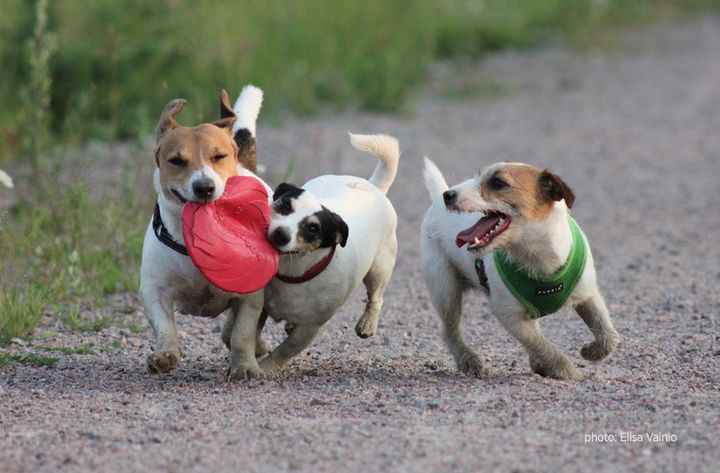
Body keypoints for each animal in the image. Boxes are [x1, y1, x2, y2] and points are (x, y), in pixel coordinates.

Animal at [225, 132, 400, 372]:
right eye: (285, 204)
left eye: (313, 228)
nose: (280, 234)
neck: (293, 273)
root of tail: (373, 185)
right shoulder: (259, 305)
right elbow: (242, 330)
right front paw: (257, 348)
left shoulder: (311, 326)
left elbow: (287, 349)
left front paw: (268, 368)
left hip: (379, 268)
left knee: (376, 296)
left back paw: (367, 323)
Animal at [422, 159, 620, 380]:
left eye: (498, 182)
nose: (448, 195)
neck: (537, 257)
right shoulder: (510, 316)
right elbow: (541, 345)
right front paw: (566, 371)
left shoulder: (588, 295)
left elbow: (607, 334)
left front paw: (592, 351)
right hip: (445, 289)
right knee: (450, 329)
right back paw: (468, 359)